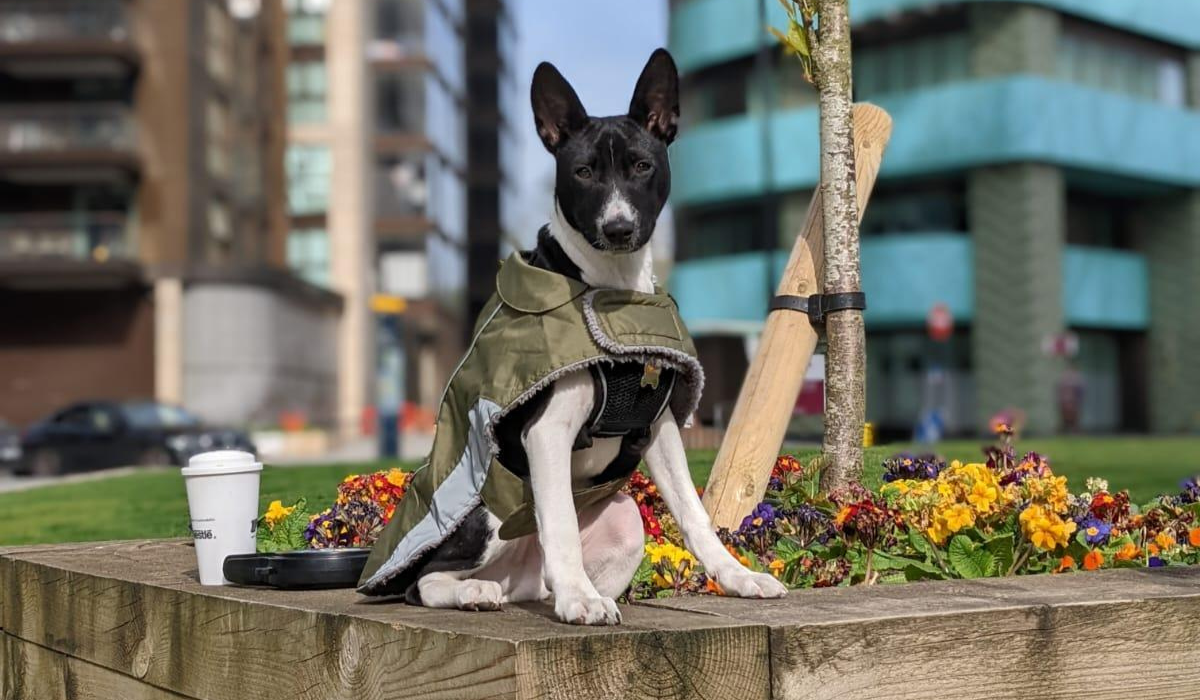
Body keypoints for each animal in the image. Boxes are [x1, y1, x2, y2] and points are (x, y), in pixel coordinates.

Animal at [412, 50, 787, 629]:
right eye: (583, 172)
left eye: (642, 166)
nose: (617, 228)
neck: (612, 290)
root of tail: (517, 579)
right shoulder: (545, 433)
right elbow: (561, 521)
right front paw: (579, 602)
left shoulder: (662, 432)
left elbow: (695, 515)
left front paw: (737, 576)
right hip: (489, 512)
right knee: (428, 578)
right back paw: (483, 591)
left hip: (624, 518)